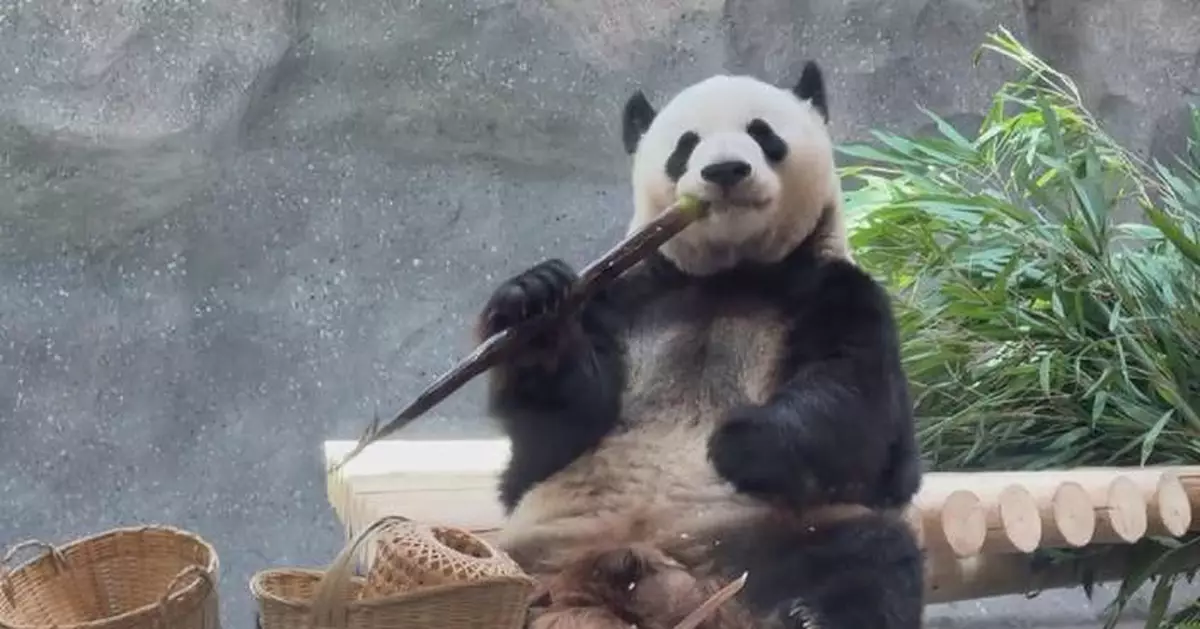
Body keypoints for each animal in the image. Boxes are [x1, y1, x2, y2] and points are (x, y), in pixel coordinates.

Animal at [474, 61, 925, 629]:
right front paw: (533, 302)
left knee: (868, 557)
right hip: (532, 548)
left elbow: (857, 406)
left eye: (763, 134)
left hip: (771, 536)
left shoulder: (834, 292)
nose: (726, 170)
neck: (728, 273)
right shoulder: (626, 297)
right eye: (686, 145)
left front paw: (742, 443)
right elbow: (561, 424)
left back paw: (808, 615)